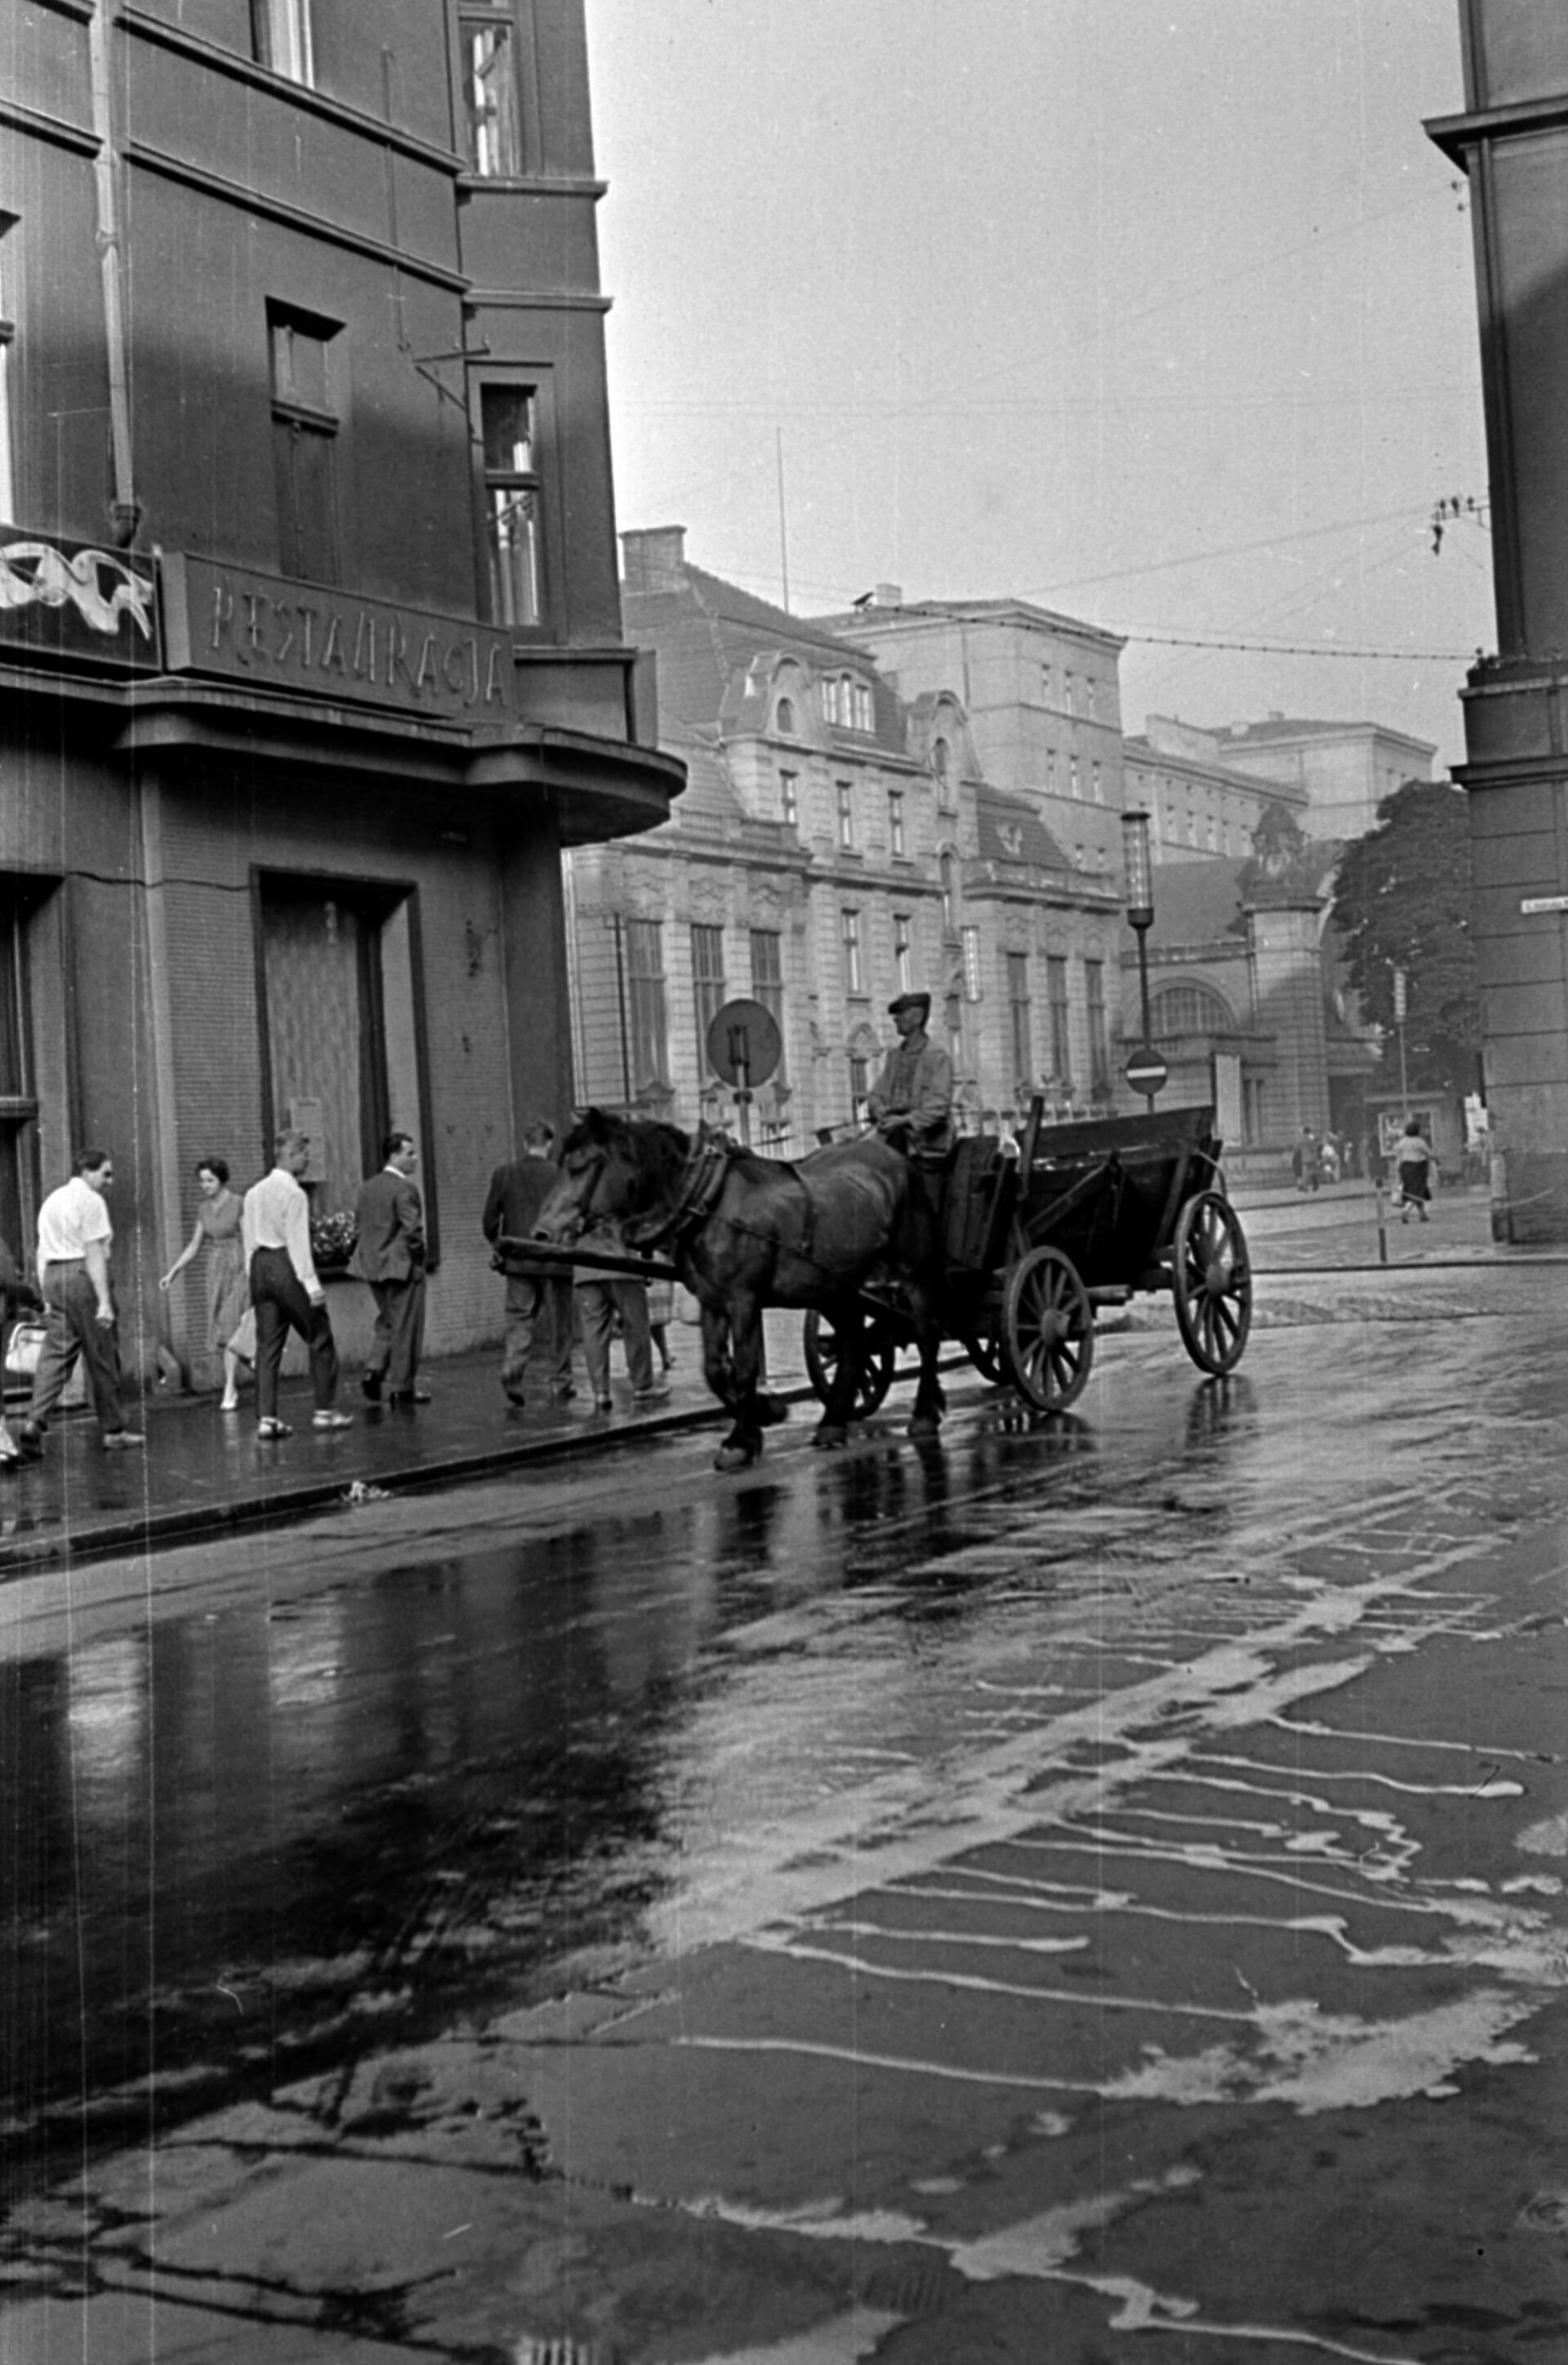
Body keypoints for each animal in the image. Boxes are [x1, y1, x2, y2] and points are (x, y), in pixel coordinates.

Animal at [534, 1106, 951, 1457]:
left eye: (580, 1166)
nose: (541, 1232)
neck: (707, 1203)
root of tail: (897, 1160)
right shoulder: (712, 1302)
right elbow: (715, 1370)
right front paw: (763, 1415)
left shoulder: (743, 1300)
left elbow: (746, 1366)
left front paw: (741, 1439)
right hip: (835, 1286)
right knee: (852, 1343)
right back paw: (833, 1422)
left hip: (914, 1272)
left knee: (926, 1334)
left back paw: (923, 1413)